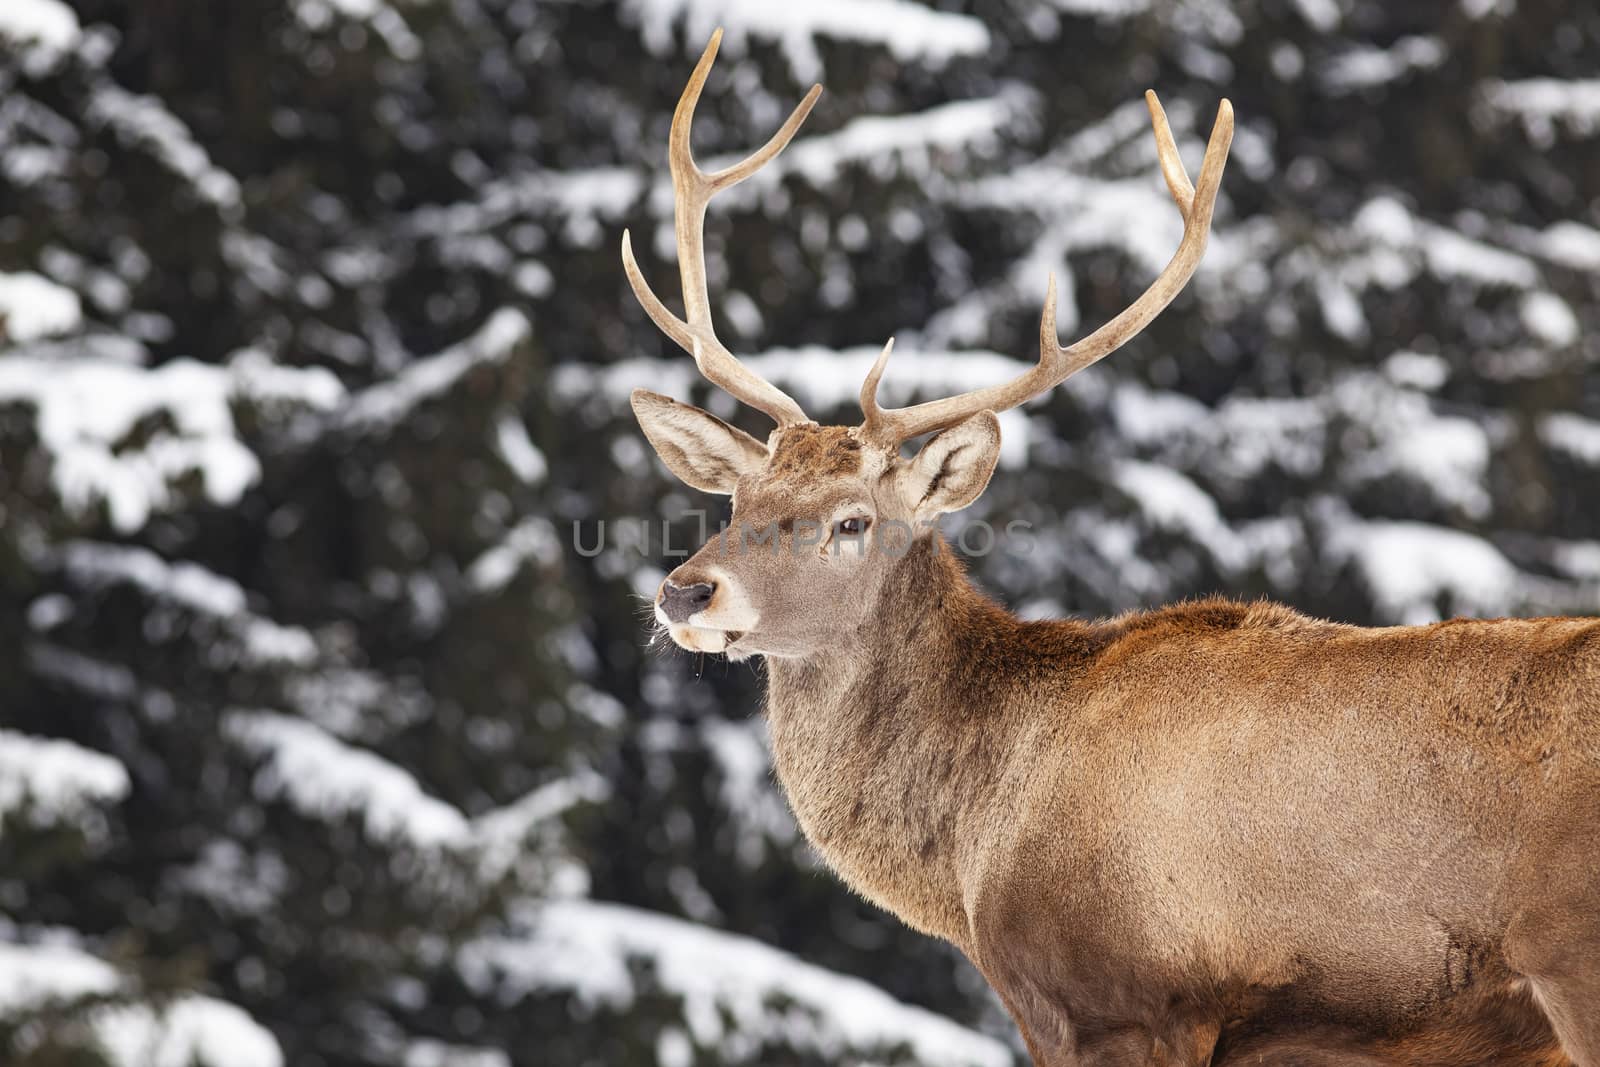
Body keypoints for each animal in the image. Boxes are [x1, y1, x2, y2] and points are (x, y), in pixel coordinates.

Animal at [617, 27, 1600, 1067]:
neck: (973, 855)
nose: (686, 593)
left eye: (852, 520)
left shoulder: (1126, 999)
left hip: (1572, 950)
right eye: (736, 498)